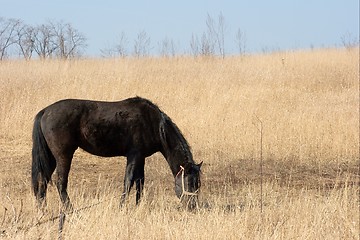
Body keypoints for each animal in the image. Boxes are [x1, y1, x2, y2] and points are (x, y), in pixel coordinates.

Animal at [32, 96, 201, 209]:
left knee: (43, 180)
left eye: (198, 183)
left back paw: (42, 209)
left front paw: (137, 206)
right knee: (60, 183)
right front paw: (122, 206)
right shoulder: (134, 156)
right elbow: (128, 182)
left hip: (51, 157)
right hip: (63, 156)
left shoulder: (141, 158)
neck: (154, 124)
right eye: (190, 183)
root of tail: (45, 111)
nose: (193, 206)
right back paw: (70, 210)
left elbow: (140, 182)